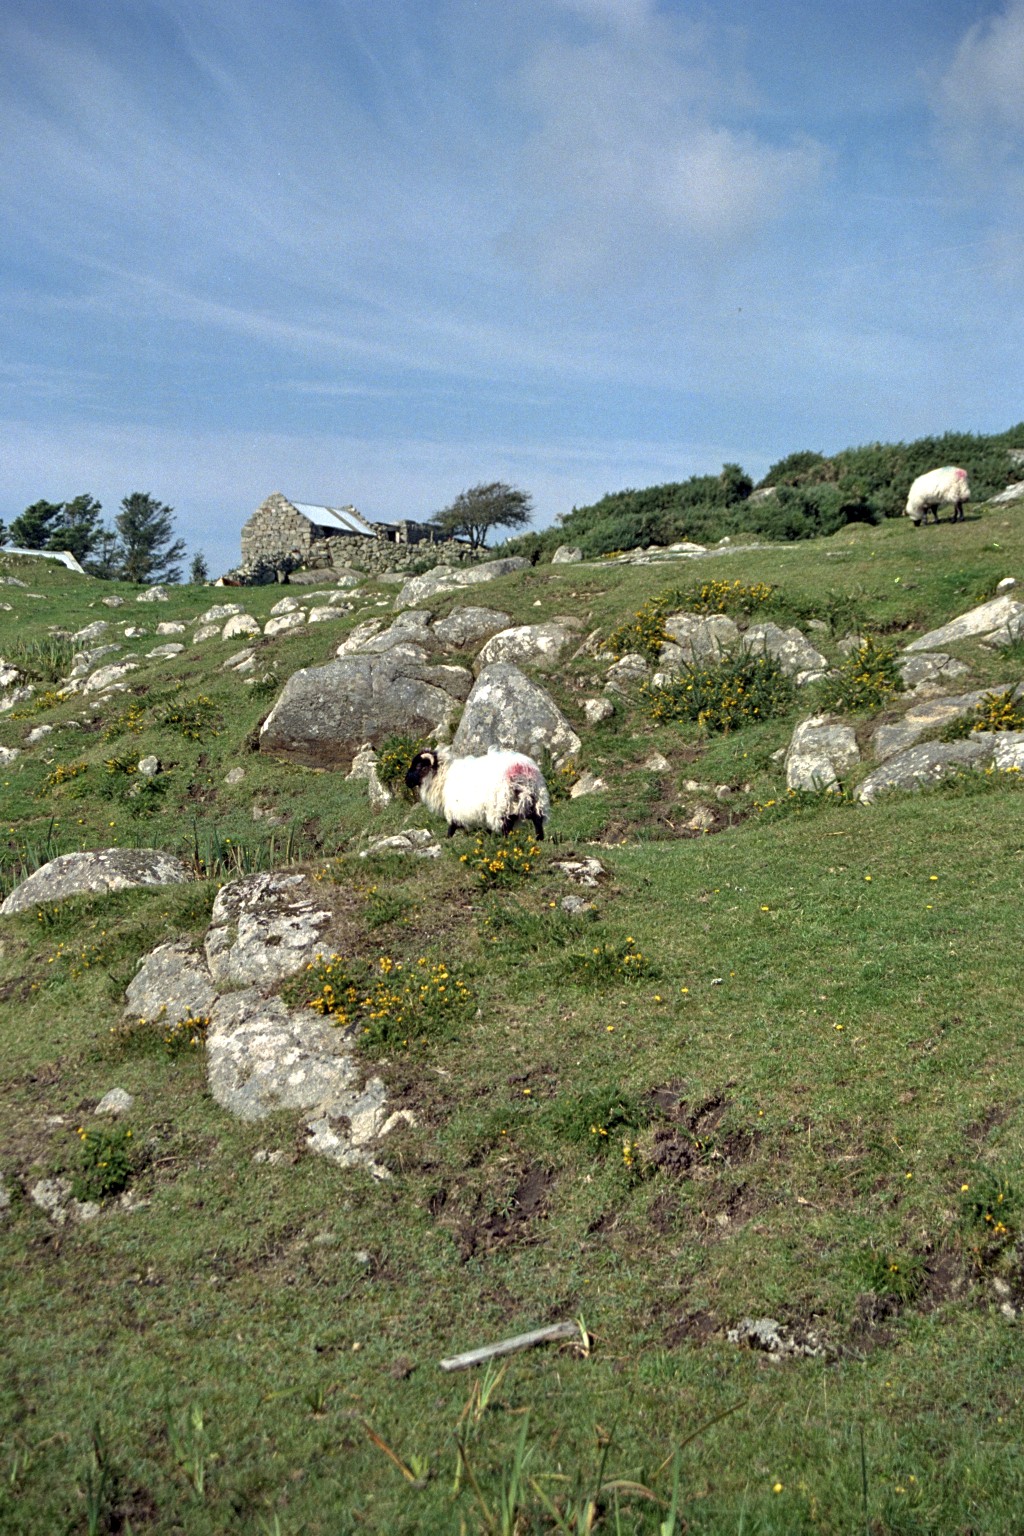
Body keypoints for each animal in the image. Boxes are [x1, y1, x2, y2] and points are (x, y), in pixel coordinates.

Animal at [405, 743, 552, 841]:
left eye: (419, 766)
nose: (406, 781)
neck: (443, 776)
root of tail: (521, 769)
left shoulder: (455, 808)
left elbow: (452, 825)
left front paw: (448, 838)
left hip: (502, 804)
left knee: (507, 825)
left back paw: (507, 842)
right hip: (535, 798)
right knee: (537, 819)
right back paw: (539, 839)